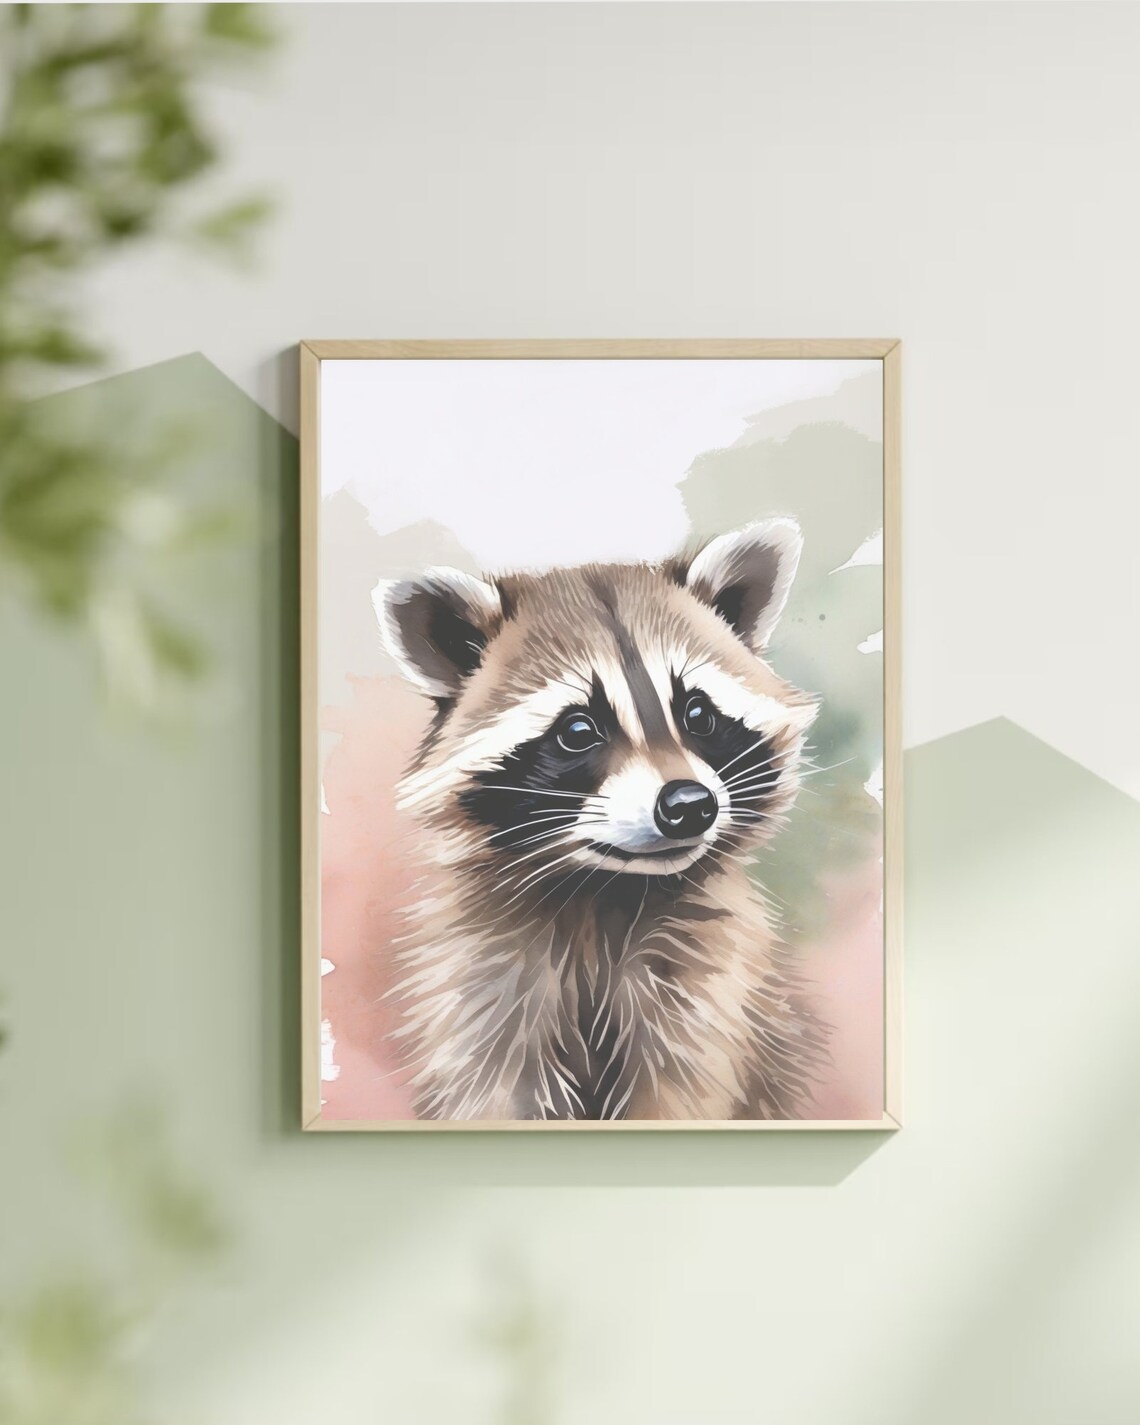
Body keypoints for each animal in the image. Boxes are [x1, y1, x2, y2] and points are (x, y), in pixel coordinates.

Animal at [374, 518, 828, 1121]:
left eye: (698, 713)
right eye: (577, 730)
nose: (690, 804)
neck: (605, 893)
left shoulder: (709, 995)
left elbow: (686, 1093)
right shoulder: (485, 991)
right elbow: (495, 1091)